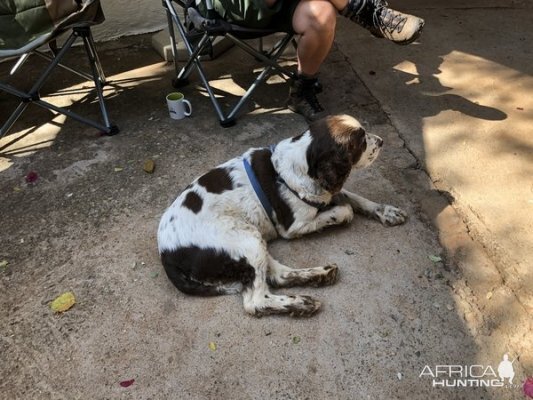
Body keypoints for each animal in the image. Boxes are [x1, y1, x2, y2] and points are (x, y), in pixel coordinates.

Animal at [156, 114, 406, 318]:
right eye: (361, 140)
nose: (381, 141)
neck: (302, 162)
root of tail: (165, 253)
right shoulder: (294, 226)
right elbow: (346, 210)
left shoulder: (326, 192)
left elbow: (356, 199)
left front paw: (387, 211)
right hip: (246, 239)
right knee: (256, 301)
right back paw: (301, 303)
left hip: (252, 242)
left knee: (277, 275)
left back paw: (319, 275)